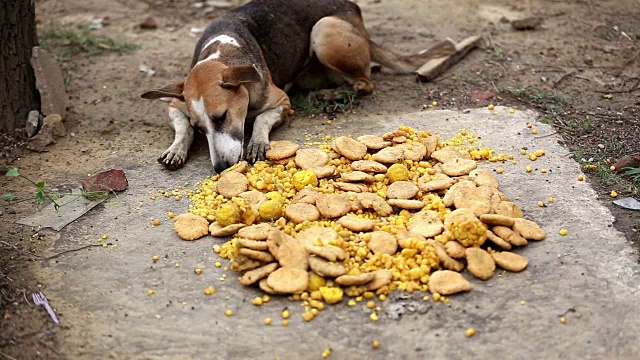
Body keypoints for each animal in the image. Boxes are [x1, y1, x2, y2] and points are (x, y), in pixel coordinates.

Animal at [141, 0, 450, 173]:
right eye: (201, 128)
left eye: (222, 117)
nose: (221, 169)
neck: (222, 52)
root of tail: (356, 14)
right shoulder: (176, 102)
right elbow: (182, 127)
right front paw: (176, 149)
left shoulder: (282, 103)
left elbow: (261, 120)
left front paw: (257, 142)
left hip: (324, 30)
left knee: (366, 82)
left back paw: (332, 93)